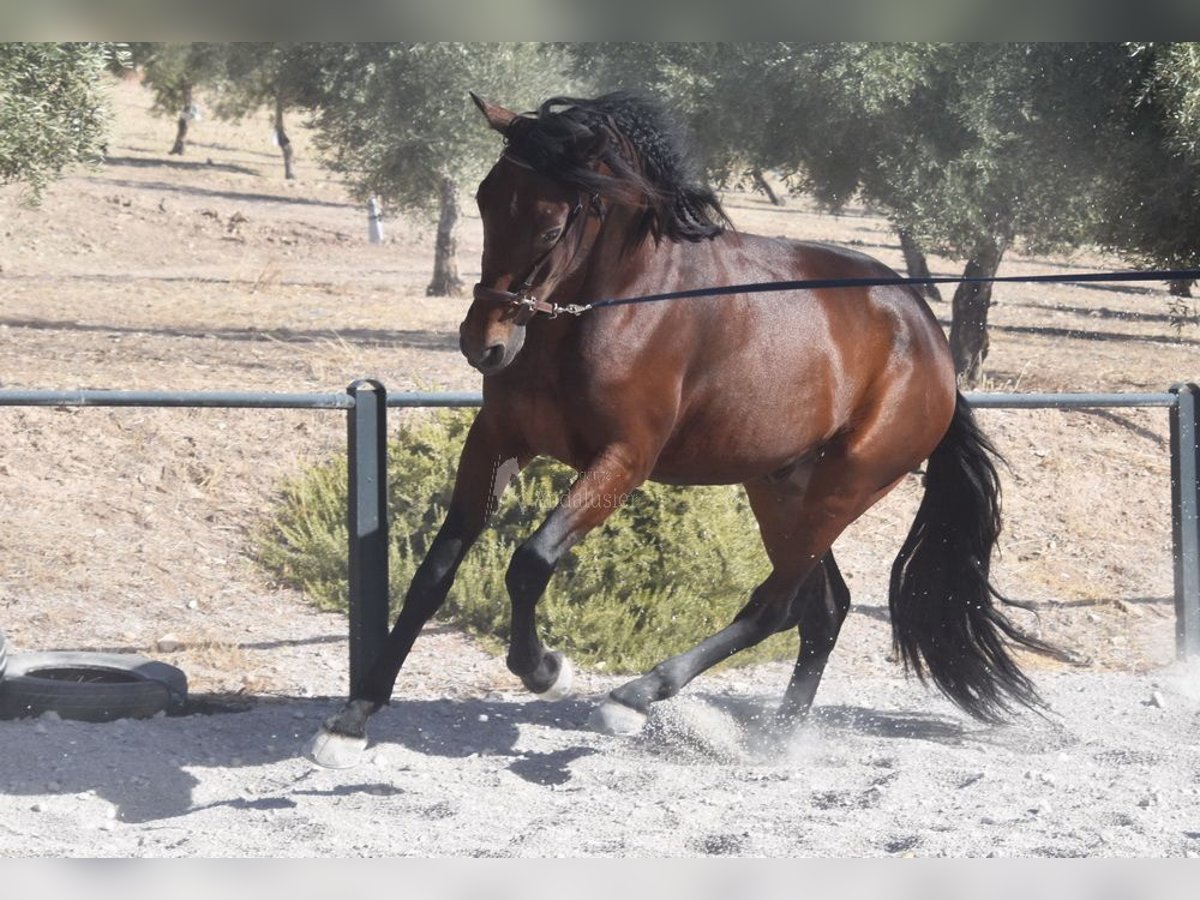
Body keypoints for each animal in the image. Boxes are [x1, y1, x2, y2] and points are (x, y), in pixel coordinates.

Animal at [308, 91, 1060, 767]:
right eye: (487, 200)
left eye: (551, 227)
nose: (483, 345)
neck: (604, 308)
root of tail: (929, 338)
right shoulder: (498, 441)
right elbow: (434, 573)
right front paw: (351, 722)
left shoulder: (624, 459)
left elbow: (530, 562)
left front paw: (548, 669)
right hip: (781, 485)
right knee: (825, 609)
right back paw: (776, 742)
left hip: (846, 487)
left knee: (776, 606)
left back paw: (634, 698)